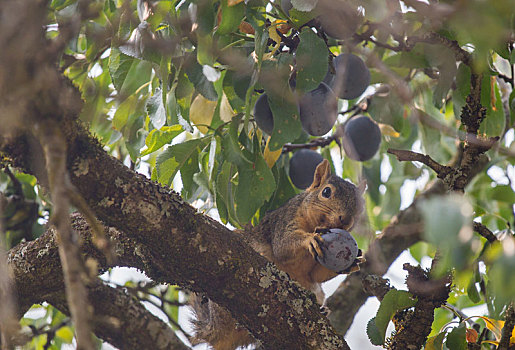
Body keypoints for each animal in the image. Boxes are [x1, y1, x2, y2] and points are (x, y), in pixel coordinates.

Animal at [191, 159, 364, 350]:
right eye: (326, 192)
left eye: (360, 206)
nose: (346, 220)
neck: (315, 225)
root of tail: (215, 330)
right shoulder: (284, 220)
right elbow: (283, 245)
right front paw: (309, 239)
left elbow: (317, 274)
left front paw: (352, 263)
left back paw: (323, 310)